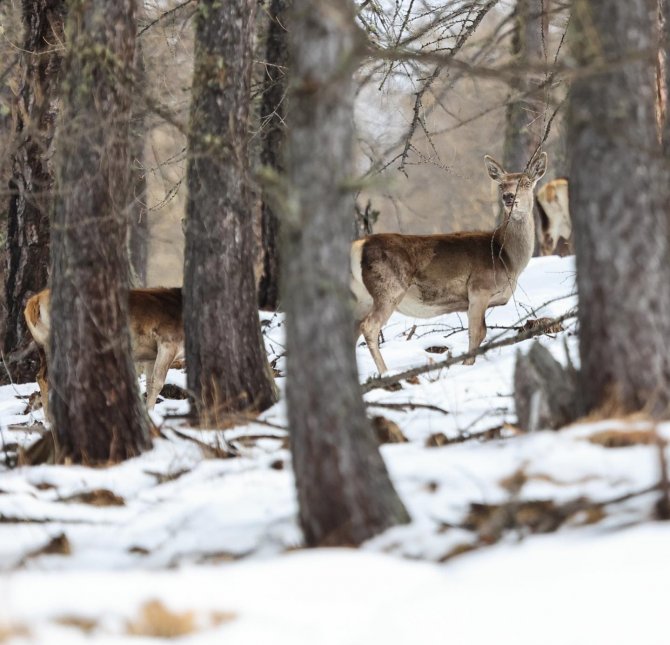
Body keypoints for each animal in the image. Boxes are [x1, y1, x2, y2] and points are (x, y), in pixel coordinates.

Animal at [24, 286, 185, 416]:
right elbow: (158, 383)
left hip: (42, 347)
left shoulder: (151, 356)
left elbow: (149, 384)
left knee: (41, 377)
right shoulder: (168, 343)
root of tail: (35, 301)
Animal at [350, 152, 548, 372]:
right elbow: (477, 332)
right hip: (388, 288)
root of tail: (358, 245)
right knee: (369, 327)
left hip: (362, 298)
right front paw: (467, 364)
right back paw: (385, 373)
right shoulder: (479, 287)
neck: (507, 258)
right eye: (501, 185)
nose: (508, 197)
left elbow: (480, 332)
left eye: (527, 182)